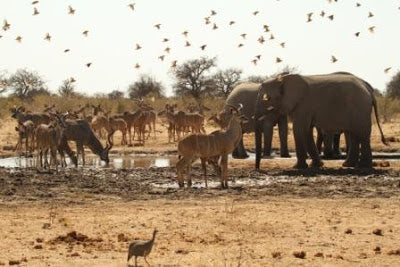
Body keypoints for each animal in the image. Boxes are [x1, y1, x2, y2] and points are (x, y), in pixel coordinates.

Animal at [255, 71, 386, 170]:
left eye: (267, 98)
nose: (257, 168)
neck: (283, 79)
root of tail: (369, 90)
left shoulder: (303, 105)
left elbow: (299, 130)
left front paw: (297, 167)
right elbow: (306, 131)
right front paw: (317, 165)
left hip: (360, 108)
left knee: (362, 134)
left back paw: (363, 167)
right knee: (354, 134)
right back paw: (348, 165)